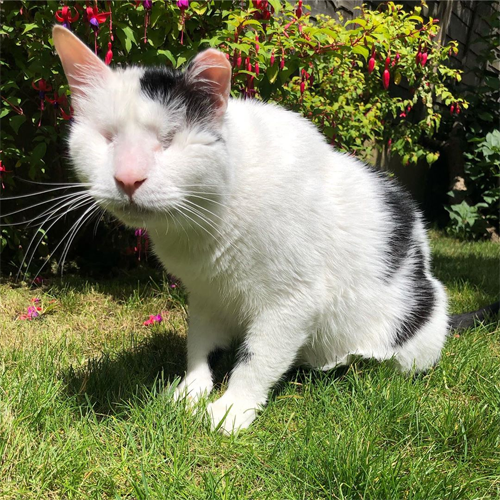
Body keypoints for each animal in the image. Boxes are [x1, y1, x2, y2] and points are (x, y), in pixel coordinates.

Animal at [52, 26, 498, 434]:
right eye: (107, 138)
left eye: (169, 139)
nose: (128, 178)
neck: (205, 223)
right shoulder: (206, 294)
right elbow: (200, 345)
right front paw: (191, 390)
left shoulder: (293, 299)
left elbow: (257, 358)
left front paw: (230, 410)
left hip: (415, 319)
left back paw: (346, 362)